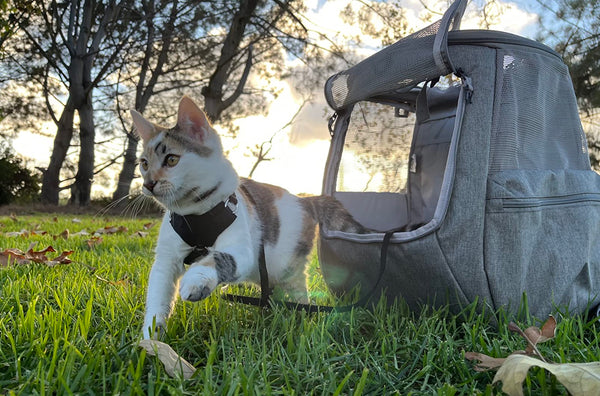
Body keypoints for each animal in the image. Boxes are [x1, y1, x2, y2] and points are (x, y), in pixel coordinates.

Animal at [132, 95, 366, 338]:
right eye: (144, 163)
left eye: (171, 159)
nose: (148, 184)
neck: (195, 215)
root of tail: (304, 200)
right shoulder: (165, 260)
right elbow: (158, 299)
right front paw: (151, 338)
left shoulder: (243, 250)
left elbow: (218, 258)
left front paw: (194, 281)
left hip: (289, 265)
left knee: (298, 291)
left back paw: (299, 319)